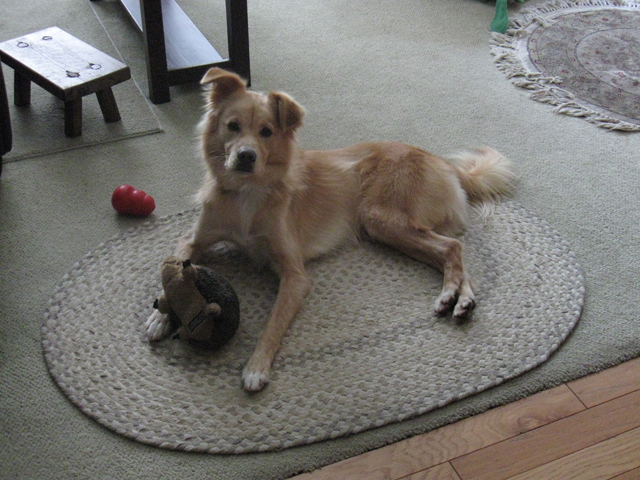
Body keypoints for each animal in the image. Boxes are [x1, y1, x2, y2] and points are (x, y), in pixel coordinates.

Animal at [145, 66, 516, 390]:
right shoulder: (193, 239)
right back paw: (462, 300)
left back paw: (452, 294)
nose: (246, 156)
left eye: (266, 132)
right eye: (232, 126)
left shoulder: (295, 275)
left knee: (452, 248)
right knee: (451, 255)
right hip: (390, 229)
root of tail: (441, 161)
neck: (247, 194)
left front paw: (256, 367)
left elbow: (273, 323)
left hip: (382, 219)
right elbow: (171, 269)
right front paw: (161, 316)